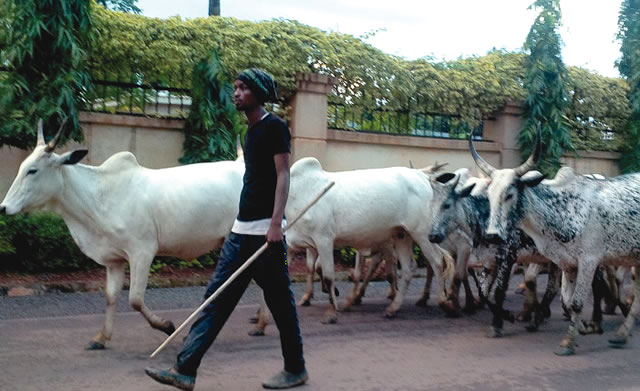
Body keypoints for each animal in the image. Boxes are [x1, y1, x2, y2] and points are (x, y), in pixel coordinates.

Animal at [0, 118, 245, 350]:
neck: (97, 196)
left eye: (33, 170)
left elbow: (135, 299)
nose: (3, 207)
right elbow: (111, 296)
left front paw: (166, 326)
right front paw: (101, 338)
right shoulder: (114, 260)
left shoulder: (142, 252)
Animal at [282, 158, 452, 324]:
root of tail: (423, 176)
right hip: (402, 235)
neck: (298, 192)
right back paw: (393, 308)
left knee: (437, 262)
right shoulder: (296, 244)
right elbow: (310, 268)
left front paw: (331, 312)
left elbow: (329, 276)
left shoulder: (324, 239)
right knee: (409, 268)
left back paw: (443, 302)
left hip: (423, 234)